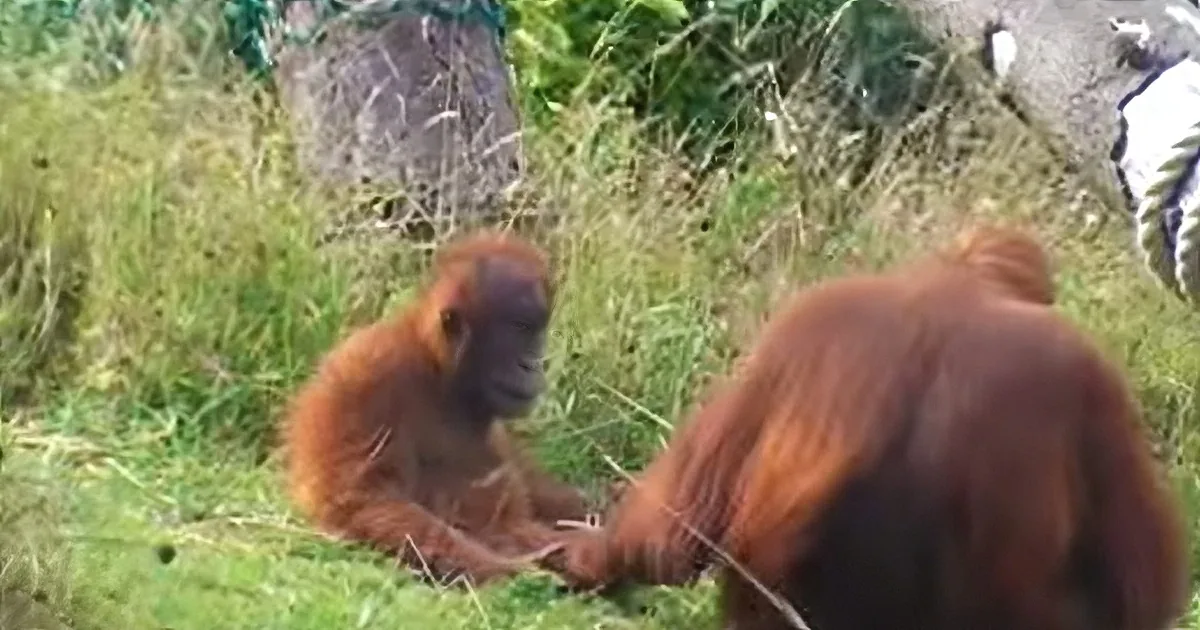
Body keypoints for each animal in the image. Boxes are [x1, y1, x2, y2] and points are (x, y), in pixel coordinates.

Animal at [282, 231, 591, 585]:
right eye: (519, 329)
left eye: (537, 331)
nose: (534, 363)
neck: (439, 371)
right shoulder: (364, 374)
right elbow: (365, 499)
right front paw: (515, 571)